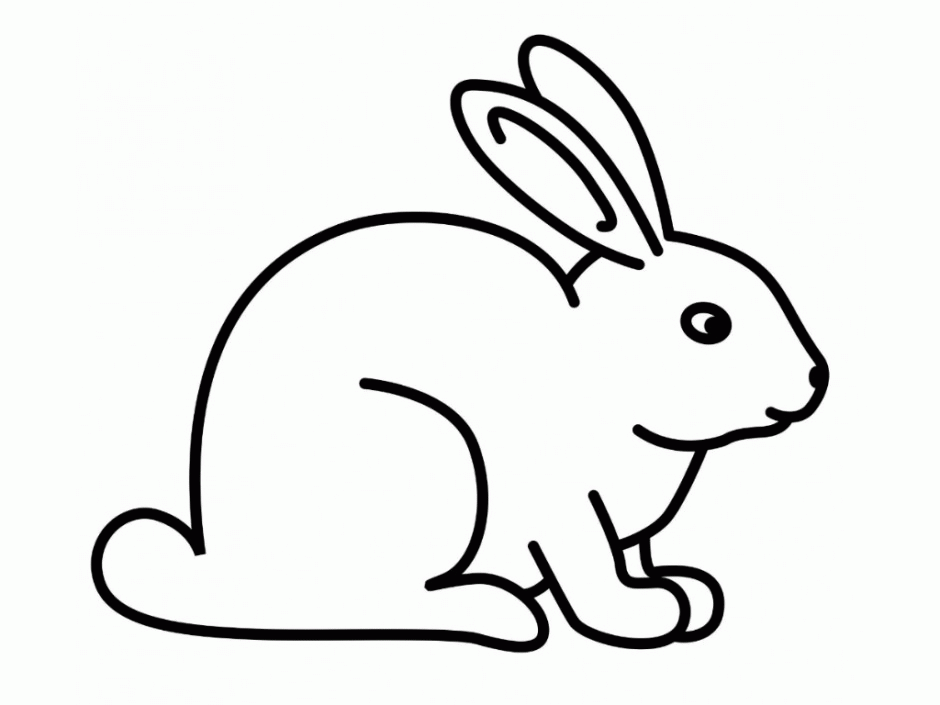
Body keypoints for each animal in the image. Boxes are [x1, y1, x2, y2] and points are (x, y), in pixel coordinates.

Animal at [91, 35, 828, 652]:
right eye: (707, 323)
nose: (814, 381)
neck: (598, 372)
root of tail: (228, 566)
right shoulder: (562, 510)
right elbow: (588, 571)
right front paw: (642, 616)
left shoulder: (627, 530)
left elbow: (635, 556)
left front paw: (687, 593)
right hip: (425, 456)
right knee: (373, 602)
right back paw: (498, 612)